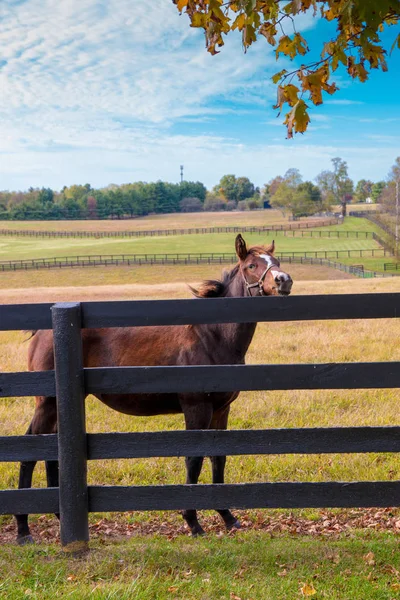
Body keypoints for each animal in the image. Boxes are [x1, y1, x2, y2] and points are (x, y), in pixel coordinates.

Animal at [14, 234, 294, 544]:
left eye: (276, 261)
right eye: (251, 266)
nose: (283, 280)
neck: (211, 335)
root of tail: (44, 330)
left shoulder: (221, 409)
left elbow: (218, 458)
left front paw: (228, 517)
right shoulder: (196, 408)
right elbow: (194, 459)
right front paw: (193, 522)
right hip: (47, 402)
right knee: (29, 450)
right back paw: (23, 528)